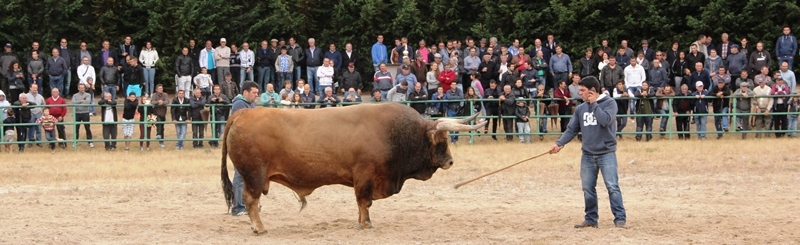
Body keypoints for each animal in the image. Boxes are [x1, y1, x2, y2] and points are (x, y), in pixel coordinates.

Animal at [220, 101, 488, 234]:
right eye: (442, 140)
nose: (450, 161)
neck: (397, 133)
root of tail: (243, 113)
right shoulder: (366, 177)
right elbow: (364, 202)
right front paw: (367, 224)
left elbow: (361, 204)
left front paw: (360, 223)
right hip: (254, 176)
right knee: (250, 200)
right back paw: (259, 228)